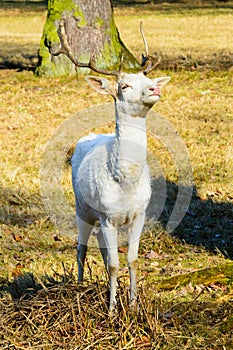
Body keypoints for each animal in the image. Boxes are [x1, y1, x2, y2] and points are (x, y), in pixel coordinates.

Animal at [53, 20, 170, 314]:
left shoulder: (139, 214)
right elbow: (116, 263)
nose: (155, 90)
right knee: (81, 248)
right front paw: (111, 310)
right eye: (125, 85)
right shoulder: (107, 215)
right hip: (83, 208)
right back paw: (80, 286)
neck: (125, 181)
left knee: (103, 251)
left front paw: (134, 305)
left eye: (148, 81)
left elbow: (131, 259)